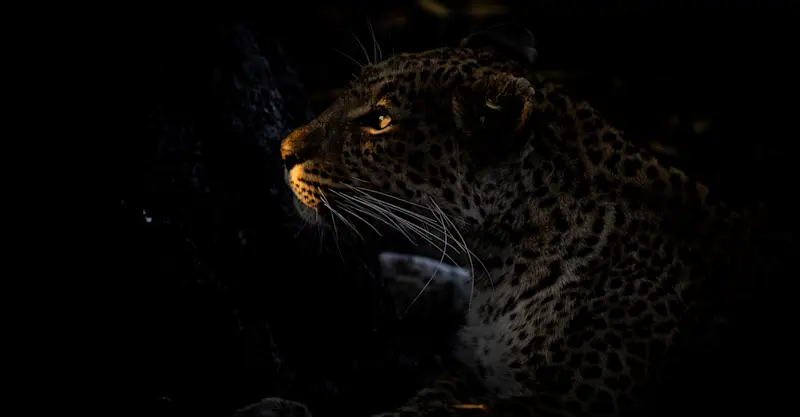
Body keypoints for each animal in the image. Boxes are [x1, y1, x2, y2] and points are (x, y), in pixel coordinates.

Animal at [244, 24, 764, 417]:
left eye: (381, 120)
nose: (284, 150)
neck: (498, 267)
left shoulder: (570, 401)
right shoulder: (468, 370)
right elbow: (432, 397)